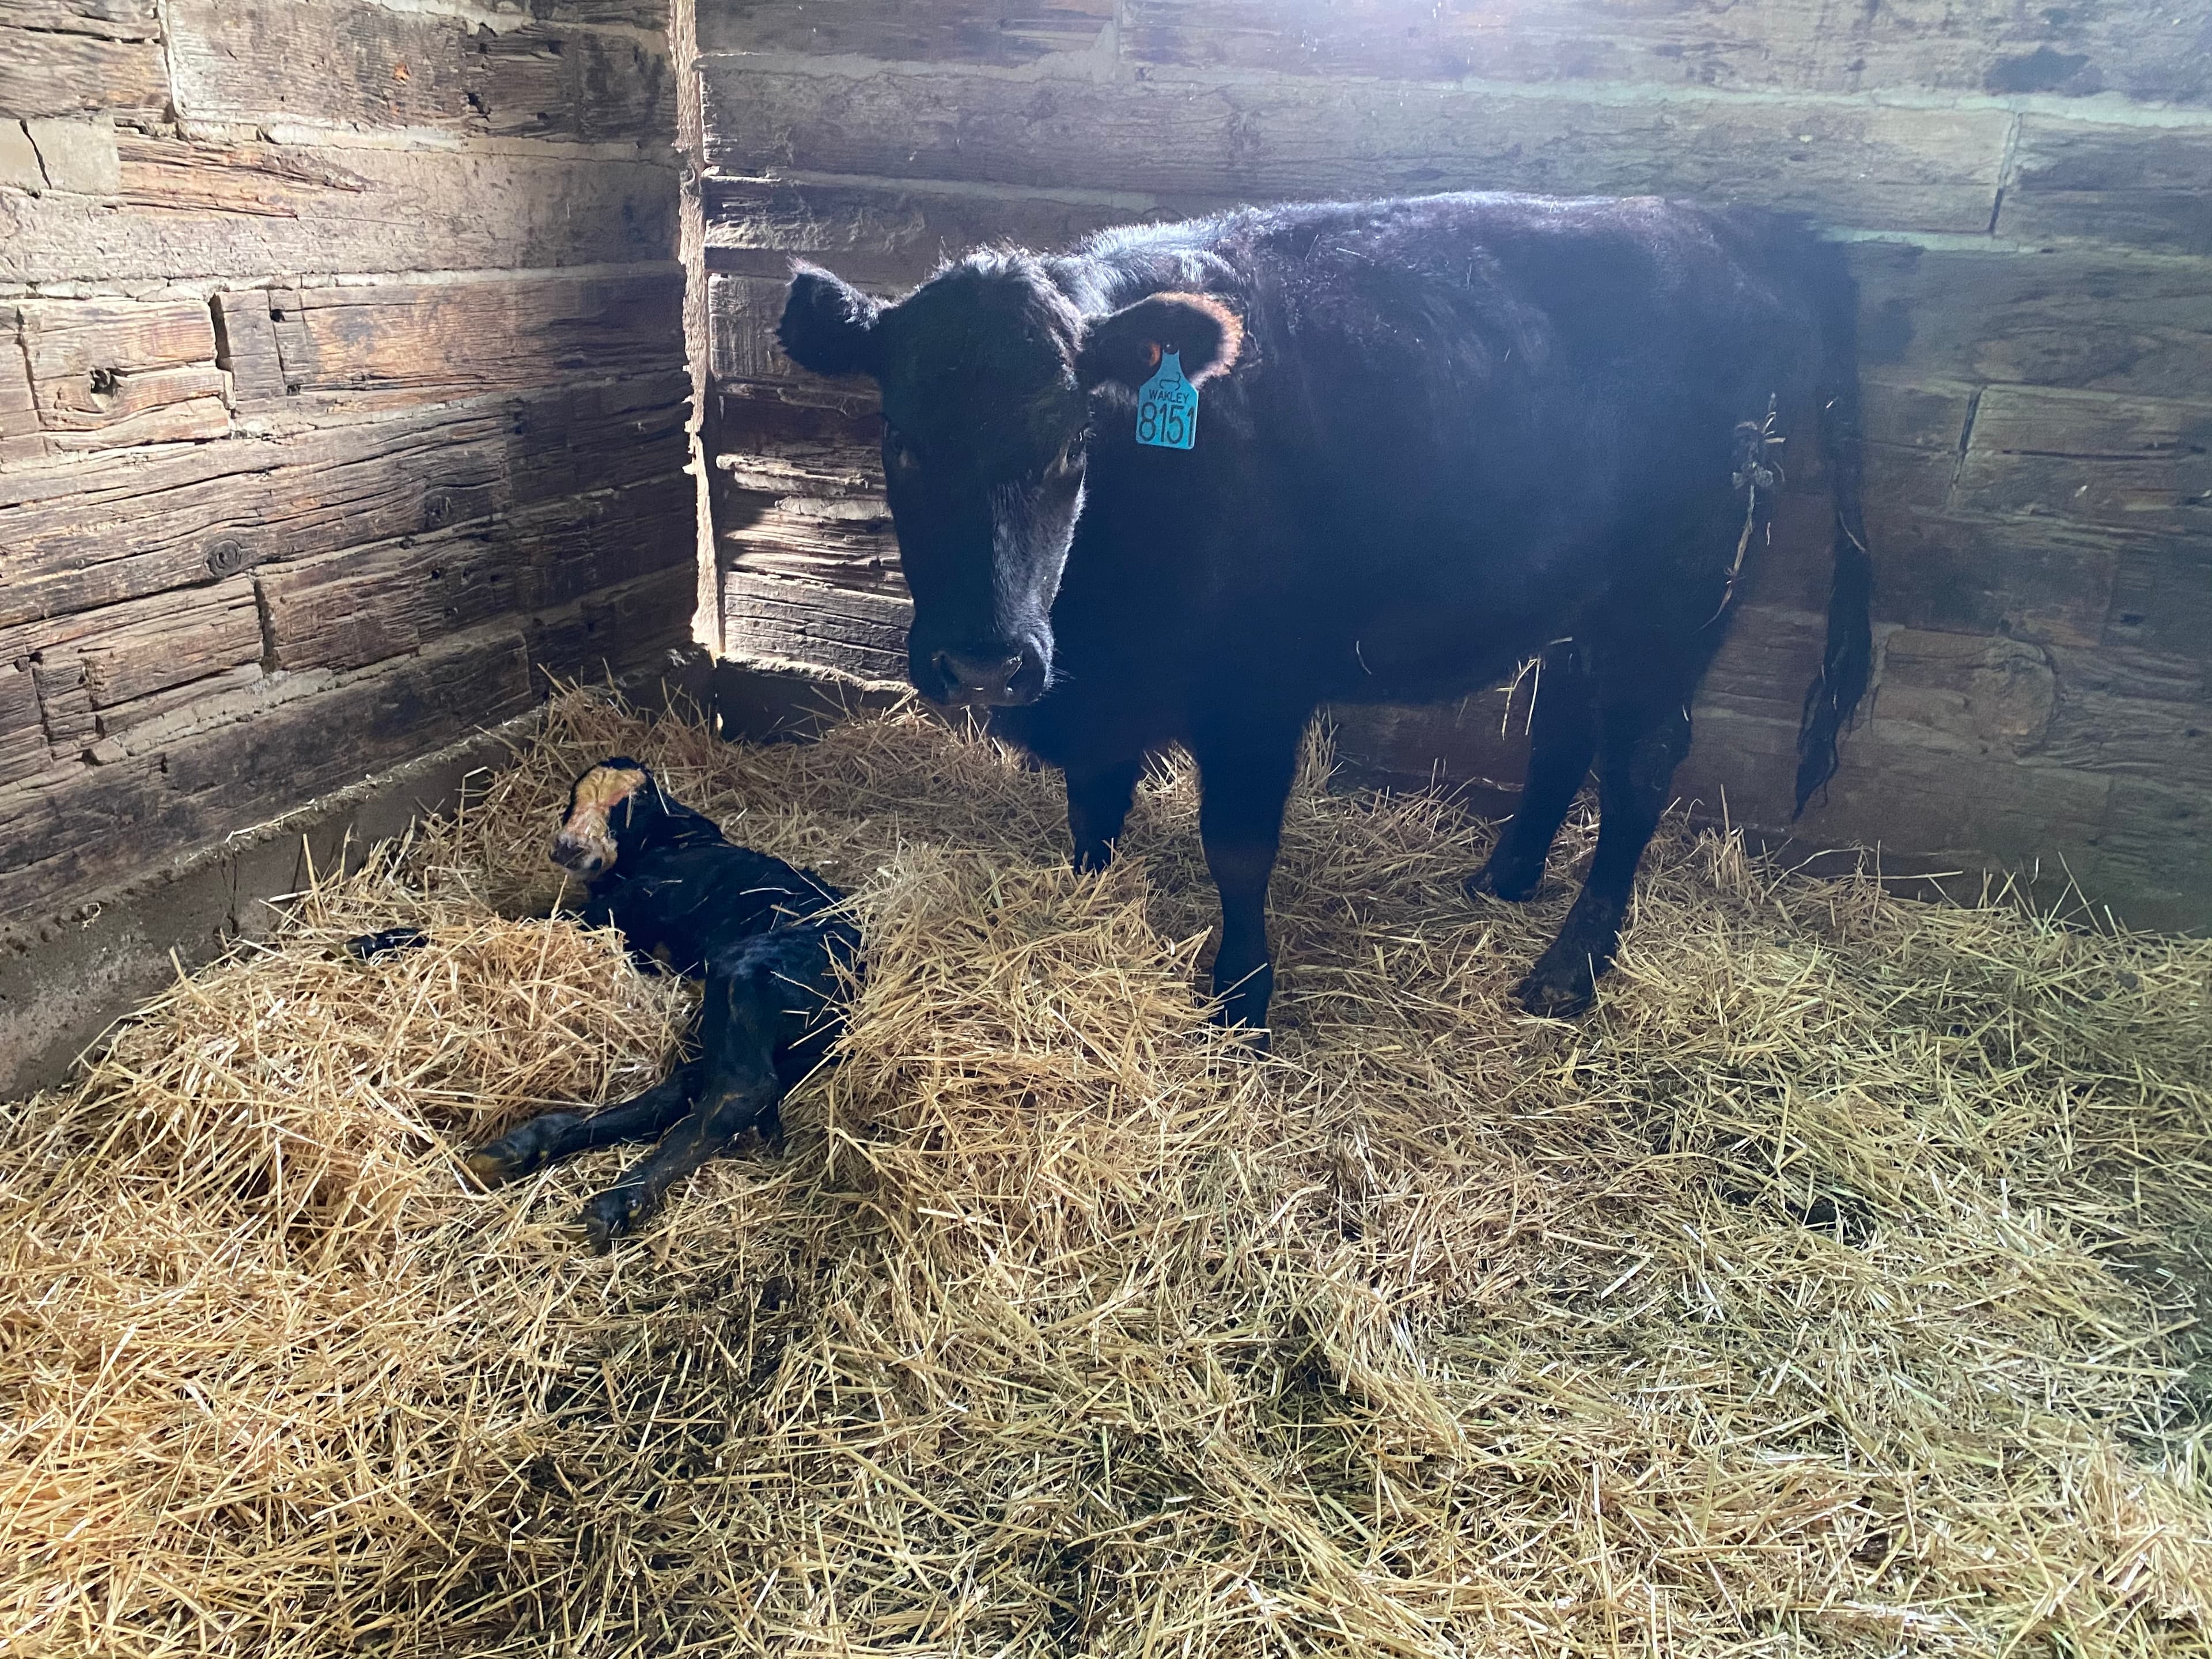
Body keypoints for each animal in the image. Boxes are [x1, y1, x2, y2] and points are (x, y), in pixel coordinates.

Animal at [778, 194, 1866, 1044]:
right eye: (900, 438)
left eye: (1072, 440)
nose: (984, 664)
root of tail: (1737, 227)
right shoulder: (1096, 696)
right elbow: (1094, 809)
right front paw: (1086, 902)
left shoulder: (1256, 692)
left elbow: (1237, 846)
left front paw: (1241, 1002)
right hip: (1583, 596)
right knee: (1565, 723)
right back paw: (1504, 878)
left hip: (1677, 600)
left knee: (1642, 763)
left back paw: (1569, 971)